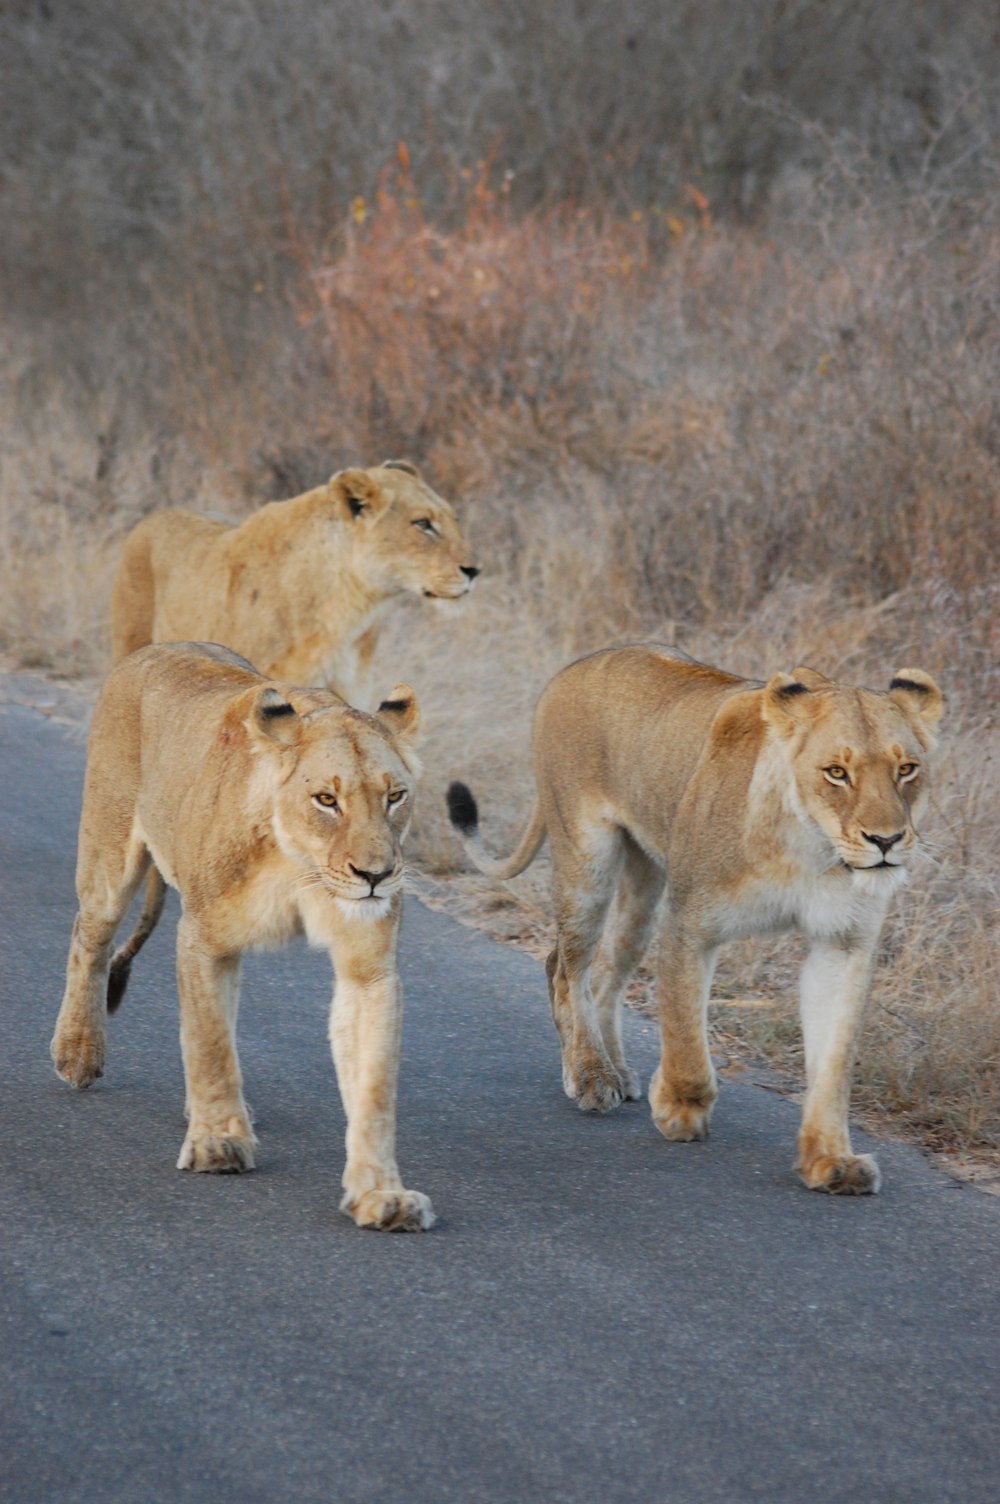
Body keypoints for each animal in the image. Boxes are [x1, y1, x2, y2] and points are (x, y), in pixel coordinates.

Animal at [50, 637, 433, 1233]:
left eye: (395, 796)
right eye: (327, 800)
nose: (375, 875)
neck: (301, 866)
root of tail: (160, 646)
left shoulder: (368, 969)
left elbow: (373, 1087)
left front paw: (381, 1194)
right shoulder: (202, 937)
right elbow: (209, 1045)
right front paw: (217, 1145)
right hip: (109, 857)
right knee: (90, 937)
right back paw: (78, 1051)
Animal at [109, 460, 481, 706]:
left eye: (454, 519)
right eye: (422, 524)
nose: (475, 570)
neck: (348, 610)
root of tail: (155, 514)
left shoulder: (352, 690)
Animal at [448, 646, 938, 1197]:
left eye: (907, 769)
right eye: (836, 772)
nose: (886, 840)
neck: (812, 848)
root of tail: (576, 665)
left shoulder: (843, 943)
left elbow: (833, 1065)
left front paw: (830, 1161)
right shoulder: (690, 923)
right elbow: (684, 1035)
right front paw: (680, 1108)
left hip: (642, 887)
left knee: (599, 974)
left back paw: (616, 1070)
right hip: (586, 861)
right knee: (567, 970)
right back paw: (591, 1075)